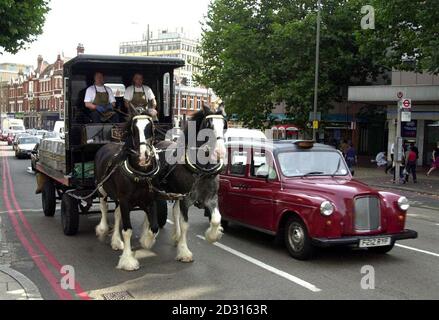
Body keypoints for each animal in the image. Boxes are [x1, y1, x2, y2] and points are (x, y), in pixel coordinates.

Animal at [95, 105, 229, 270]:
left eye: (224, 126)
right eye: (208, 126)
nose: (220, 153)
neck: (201, 171)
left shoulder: (211, 198)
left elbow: (216, 218)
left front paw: (213, 235)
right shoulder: (185, 200)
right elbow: (185, 225)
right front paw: (184, 252)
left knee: (168, 211)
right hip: (104, 189)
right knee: (106, 206)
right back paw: (107, 231)